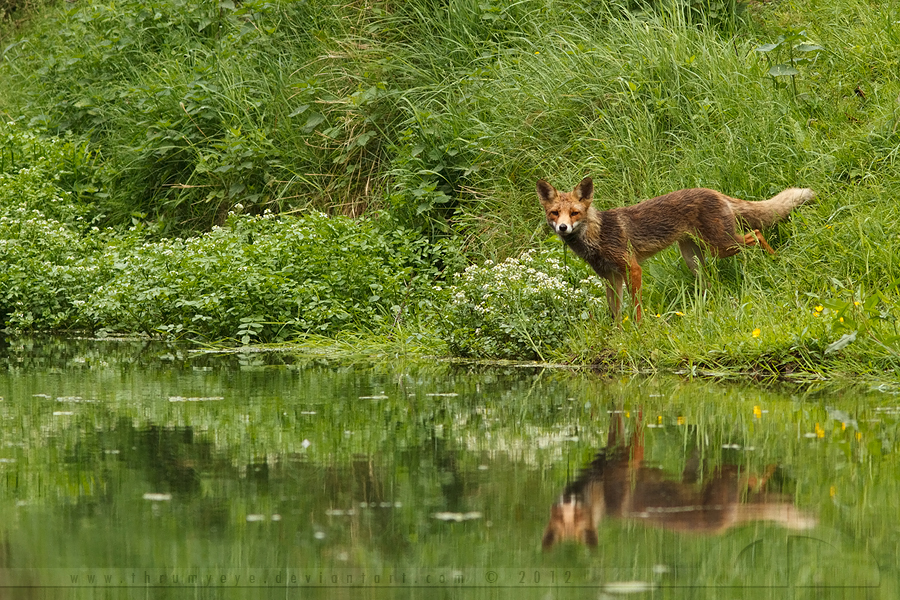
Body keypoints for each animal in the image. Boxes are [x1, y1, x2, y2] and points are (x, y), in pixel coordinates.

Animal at [536, 176, 816, 322]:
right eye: (555, 213)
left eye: (574, 213)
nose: (563, 227)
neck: (598, 235)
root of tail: (714, 191)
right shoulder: (610, 278)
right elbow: (615, 313)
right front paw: (618, 334)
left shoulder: (632, 268)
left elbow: (636, 308)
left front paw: (639, 329)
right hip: (694, 258)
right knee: (710, 282)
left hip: (721, 246)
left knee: (756, 234)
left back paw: (775, 261)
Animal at [540, 410, 816, 552]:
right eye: (558, 516)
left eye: (578, 517)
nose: (567, 498)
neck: (601, 493)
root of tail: (723, 527)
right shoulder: (614, 450)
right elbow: (615, 424)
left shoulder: (632, 457)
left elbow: (634, 423)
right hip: (729, 478)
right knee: (758, 488)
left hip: (727, 475)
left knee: (758, 480)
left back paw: (777, 465)